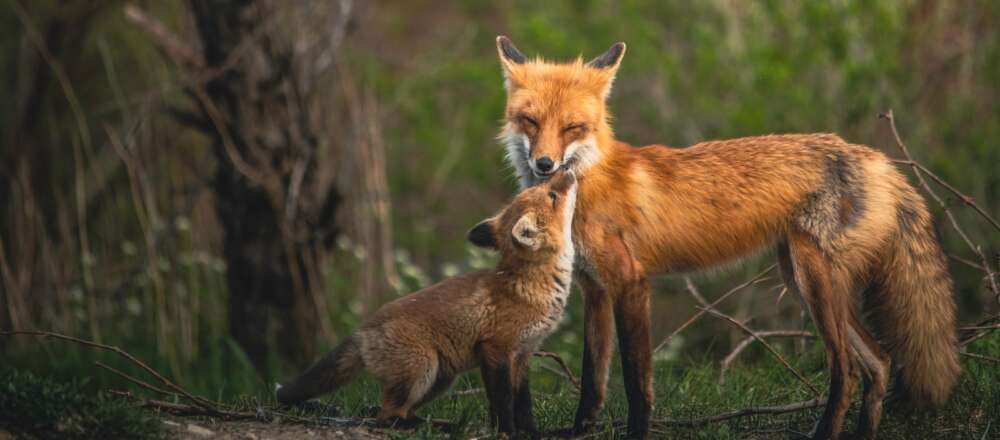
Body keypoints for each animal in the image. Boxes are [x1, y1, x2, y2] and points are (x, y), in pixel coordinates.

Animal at [276, 171, 578, 437]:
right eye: (552, 195)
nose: (565, 170)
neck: (530, 287)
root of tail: (361, 331)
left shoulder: (524, 353)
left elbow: (523, 404)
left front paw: (532, 432)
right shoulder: (495, 350)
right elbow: (502, 402)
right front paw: (506, 432)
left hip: (441, 379)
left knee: (400, 410)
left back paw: (444, 425)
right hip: (423, 368)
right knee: (387, 415)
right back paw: (426, 427)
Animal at [487, 36, 960, 439]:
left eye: (573, 127)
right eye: (530, 121)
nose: (545, 165)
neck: (587, 186)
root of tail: (877, 158)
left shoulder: (630, 282)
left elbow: (636, 383)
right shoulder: (595, 288)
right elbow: (592, 381)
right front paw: (580, 430)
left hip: (814, 282)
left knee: (846, 371)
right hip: (803, 279)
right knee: (880, 362)